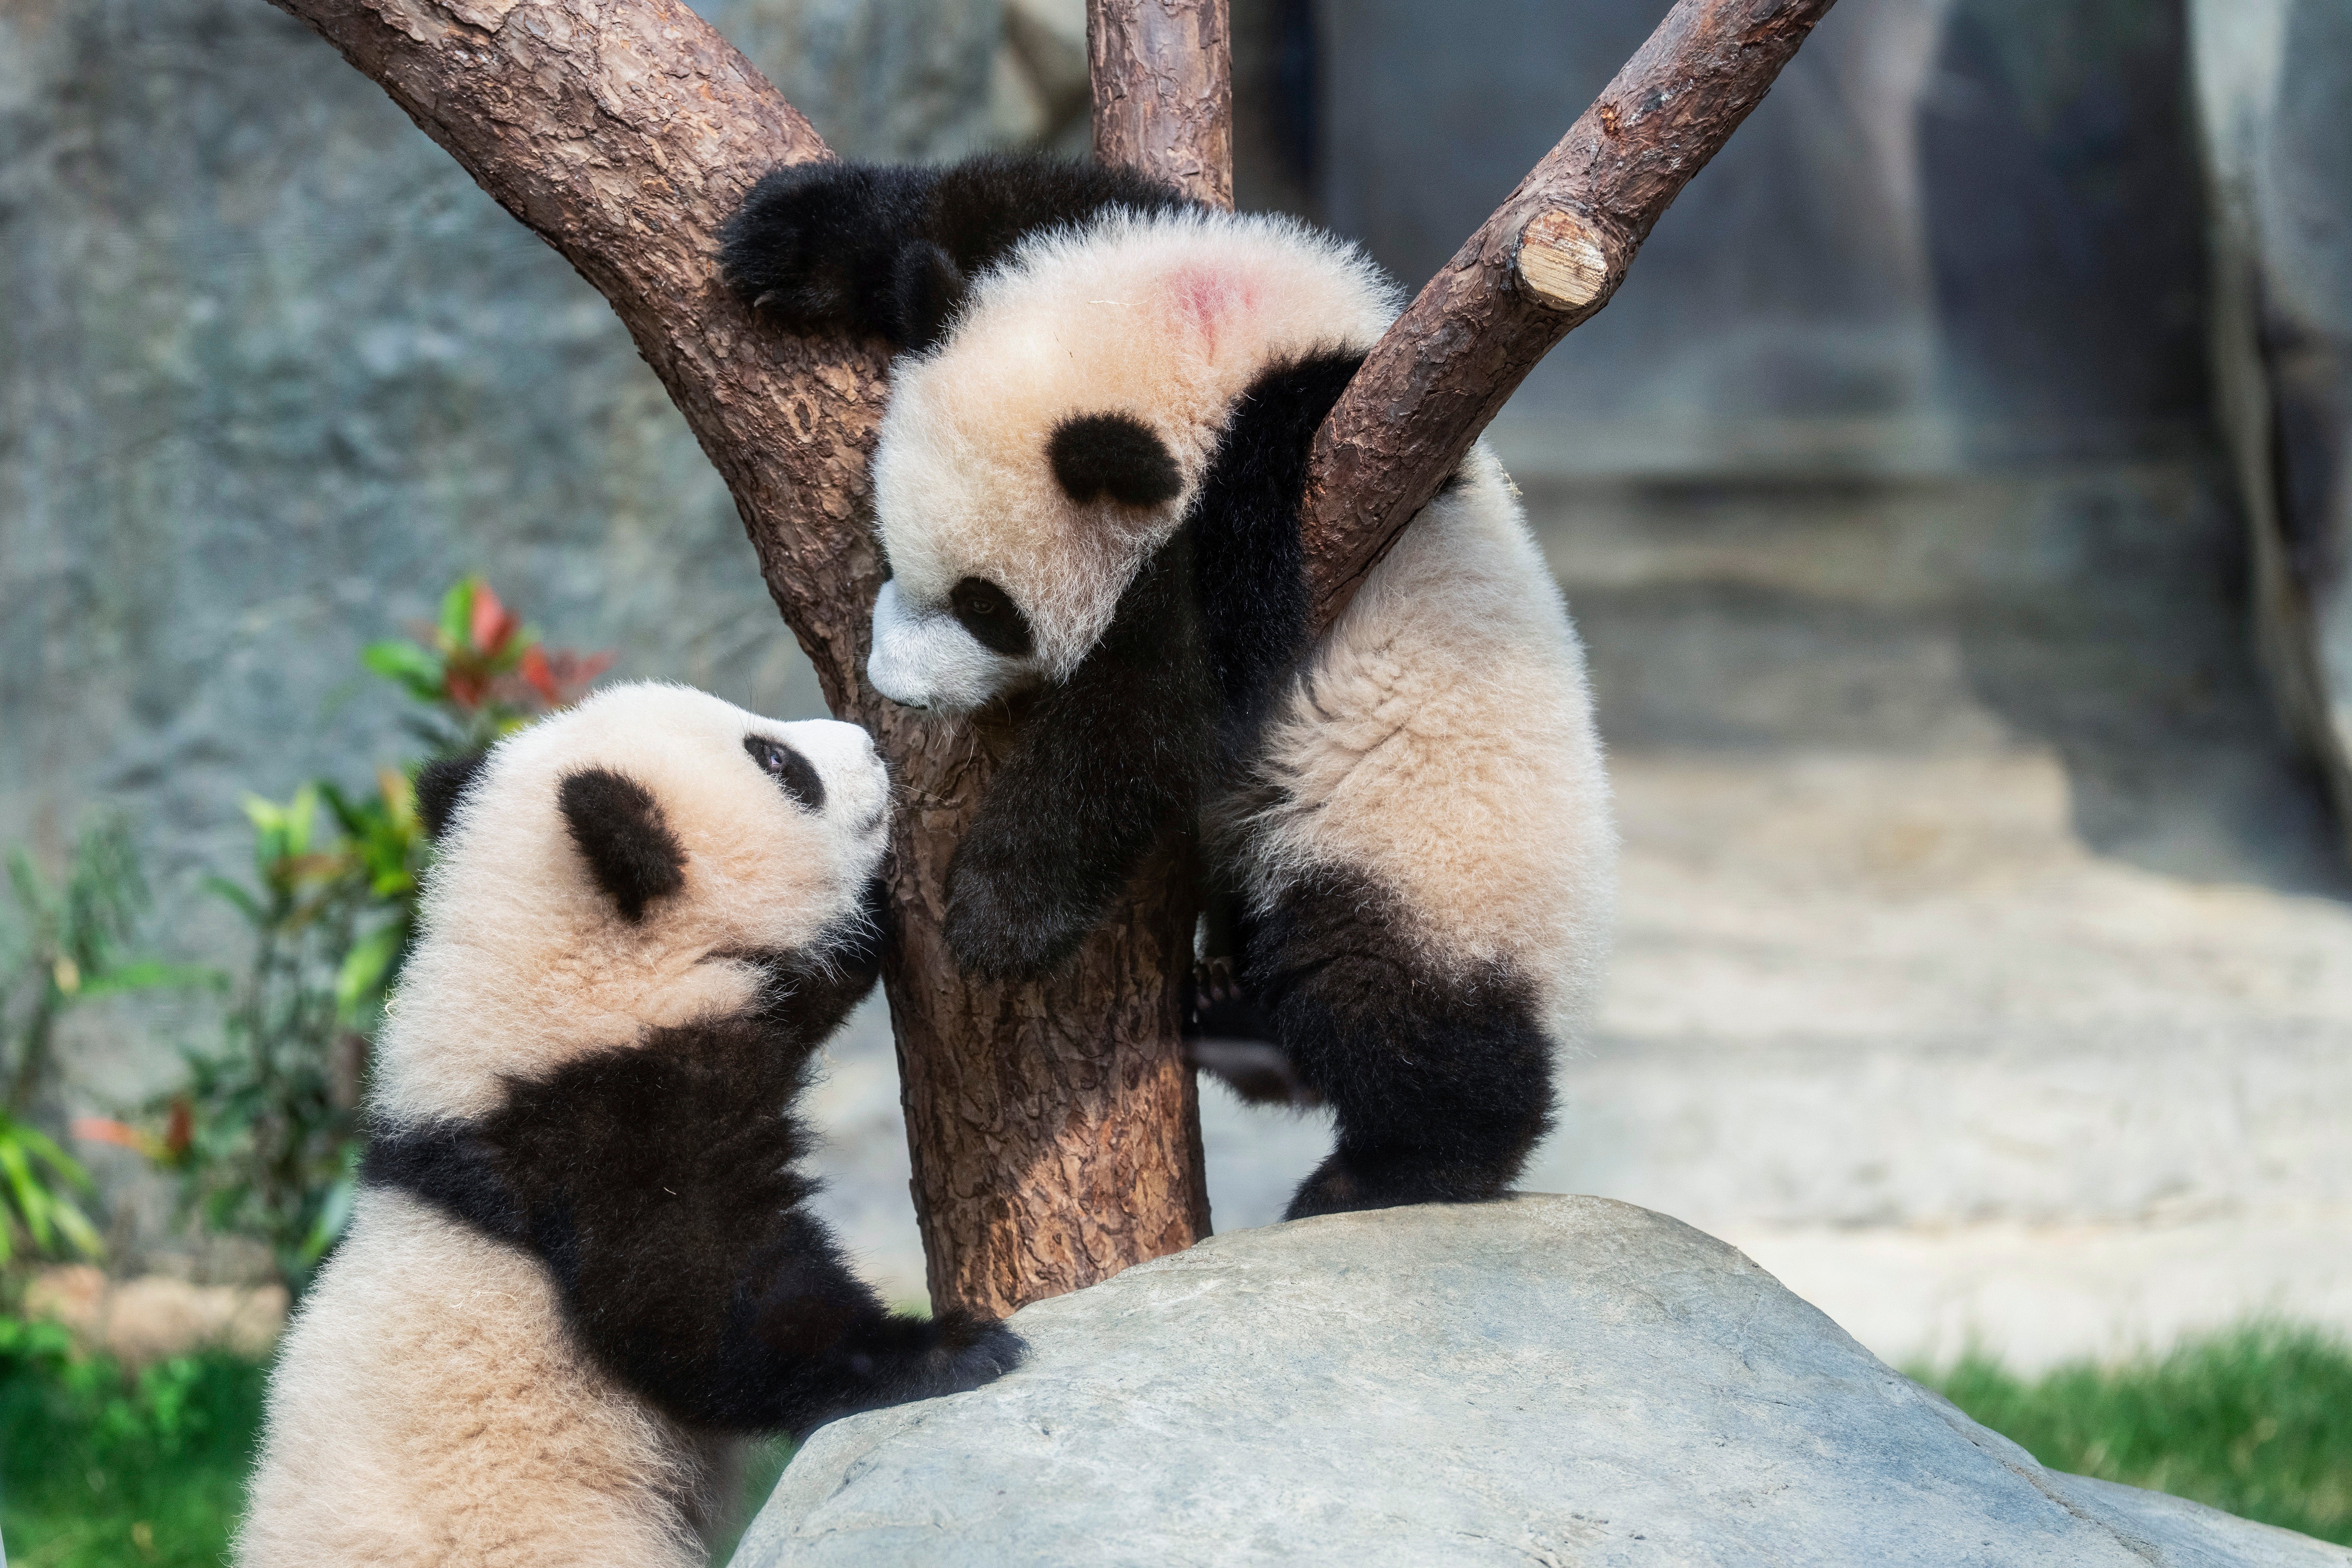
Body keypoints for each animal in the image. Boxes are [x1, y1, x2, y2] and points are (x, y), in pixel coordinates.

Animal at [722, 155, 1615, 1221]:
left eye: (987, 609)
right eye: (896, 555)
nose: (894, 687)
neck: (1223, 340)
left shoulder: (1305, 462)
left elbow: (1163, 691)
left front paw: (999, 908)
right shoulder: (1167, 239)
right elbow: (1000, 199)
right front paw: (791, 238)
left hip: (1433, 862)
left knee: (1399, 1013)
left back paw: (1386, 1171)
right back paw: (1234, 1016)